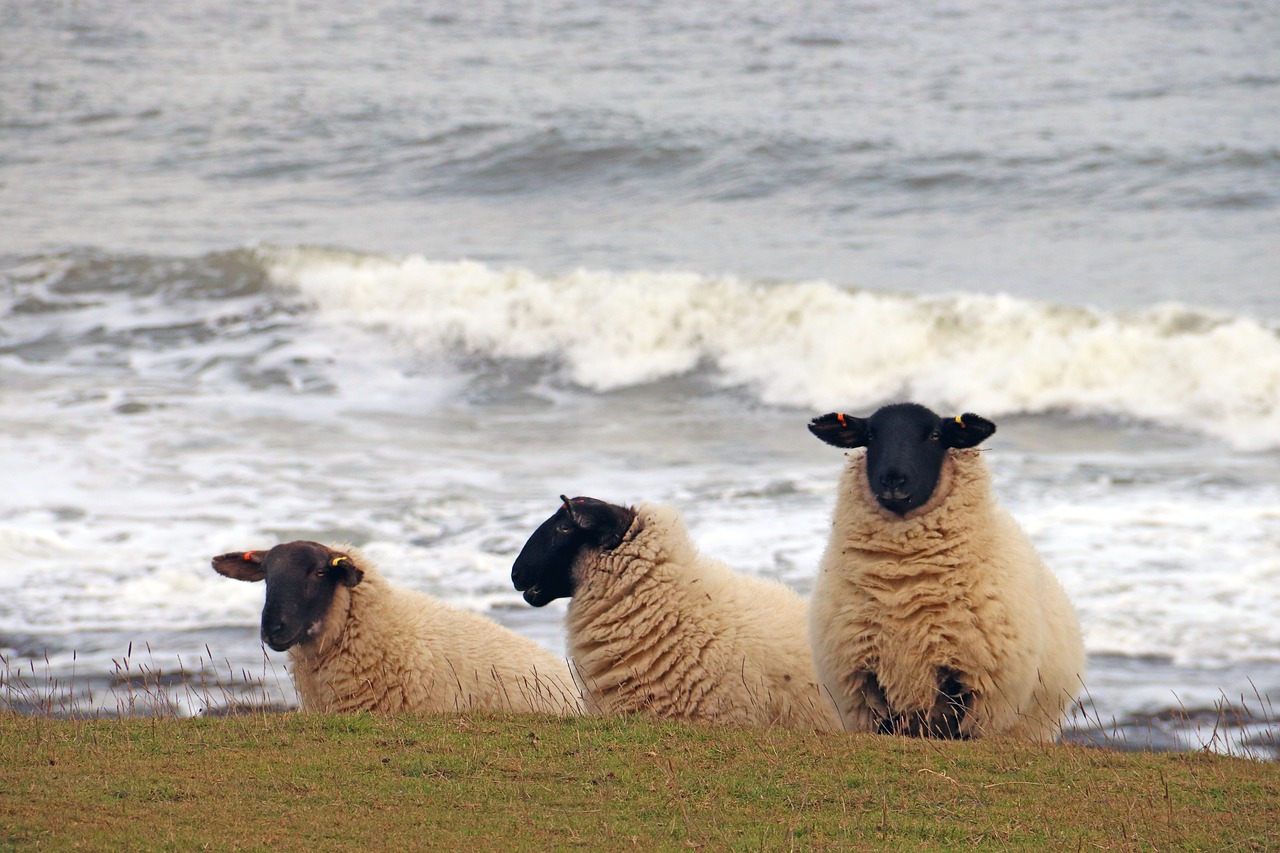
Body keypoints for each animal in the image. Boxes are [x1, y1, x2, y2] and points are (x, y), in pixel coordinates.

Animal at [808, 402, 1080, 742]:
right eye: (870, 436)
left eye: (936, 435)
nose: (893, 479)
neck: (902, 583)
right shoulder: (867, 679)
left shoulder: (966, 679)